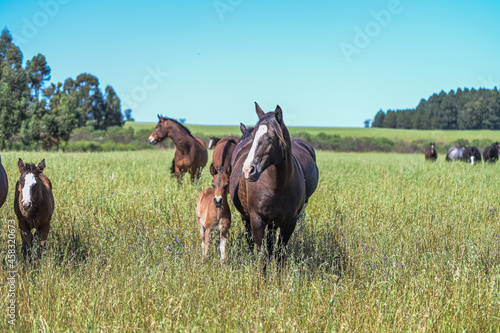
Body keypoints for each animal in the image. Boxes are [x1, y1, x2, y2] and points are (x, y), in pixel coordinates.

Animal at [231, 102, 320, 260]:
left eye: (271, 138)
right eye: (253, 137)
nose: (248, 169)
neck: (278, 185)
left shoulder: (289, 222)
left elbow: (279, 253)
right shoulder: (257, 219)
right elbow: (262, 254)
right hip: (246, 216)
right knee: (250, 240)